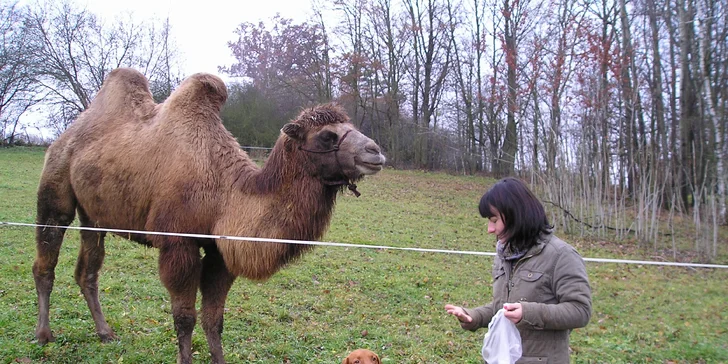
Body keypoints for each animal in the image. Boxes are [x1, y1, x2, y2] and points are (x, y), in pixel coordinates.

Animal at [32, 67, 386, 362]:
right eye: (327, 135)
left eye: (351, 127)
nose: (375, 152)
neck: (223, 194)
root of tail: (66, 135)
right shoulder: (178, 243)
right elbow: (185, 317)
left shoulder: (220, 251)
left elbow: (214, 319)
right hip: (55, 186)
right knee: (46, 260)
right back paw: (43, 335)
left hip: (94, 215)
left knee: (88, 271)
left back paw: (105, 333)